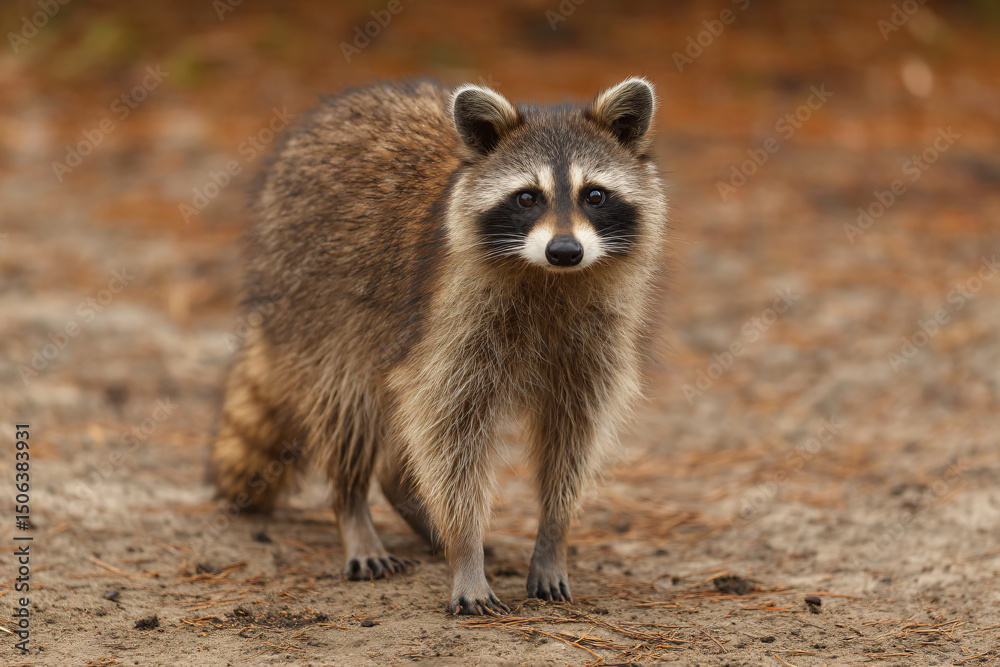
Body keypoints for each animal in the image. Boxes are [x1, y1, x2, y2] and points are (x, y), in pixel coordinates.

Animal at [211, 77, 668, 615]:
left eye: (594, 195)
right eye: (527, 198)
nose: (565, 250)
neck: (549, 277)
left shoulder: (594, 341)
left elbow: (573, 435)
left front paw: (553, 536)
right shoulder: (450, 316)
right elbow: (452, 430)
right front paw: (466, 553)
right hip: (318, 304)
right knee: (347, 407)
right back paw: (353, 509)